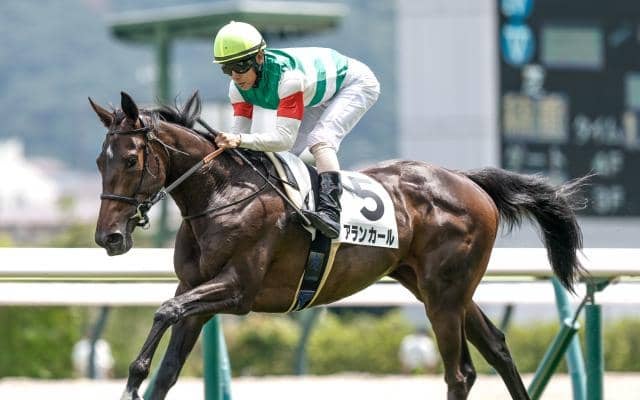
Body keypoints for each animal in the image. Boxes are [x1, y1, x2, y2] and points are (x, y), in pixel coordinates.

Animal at [91, 91, 586, 400]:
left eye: (131, 159)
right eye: (100, 161)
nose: (108, 237)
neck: (219, 195)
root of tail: (469, 181)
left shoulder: (238, 289)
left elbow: (164, 312)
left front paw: (131, 380)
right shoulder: (197, 290)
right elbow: (167, 368)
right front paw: (142, 375)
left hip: (444, 296)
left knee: (460, 373)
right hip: (437, 288)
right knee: (498, 348)